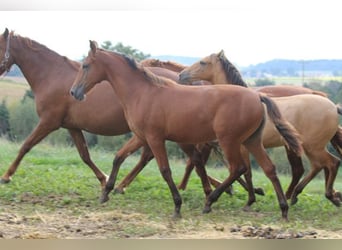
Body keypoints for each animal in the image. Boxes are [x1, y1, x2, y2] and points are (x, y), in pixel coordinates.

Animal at [69, 40, 302, 219]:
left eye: (86, 65)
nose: (74, 92)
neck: (143, 92)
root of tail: (257, 96)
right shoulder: (142, 137)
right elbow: (119, 157)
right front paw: (106, 192)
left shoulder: (155, 138)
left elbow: (165, 170)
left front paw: (177, 206)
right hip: (251, 141)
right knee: (269, 168)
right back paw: (283, 209)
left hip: (229, 141)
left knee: (238, 168)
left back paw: (210, 202)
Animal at [179, 49, 342, 206]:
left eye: (203, 62)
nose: (181, 75)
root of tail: (333, 107)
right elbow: (245, 172)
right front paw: (251, 197)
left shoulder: (241, 147)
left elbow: (244, 171)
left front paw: (250, 199)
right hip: (308, 147)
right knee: (318, 166)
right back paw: (297, 195)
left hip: (313, 147)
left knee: (331, 163)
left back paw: (328, 196)